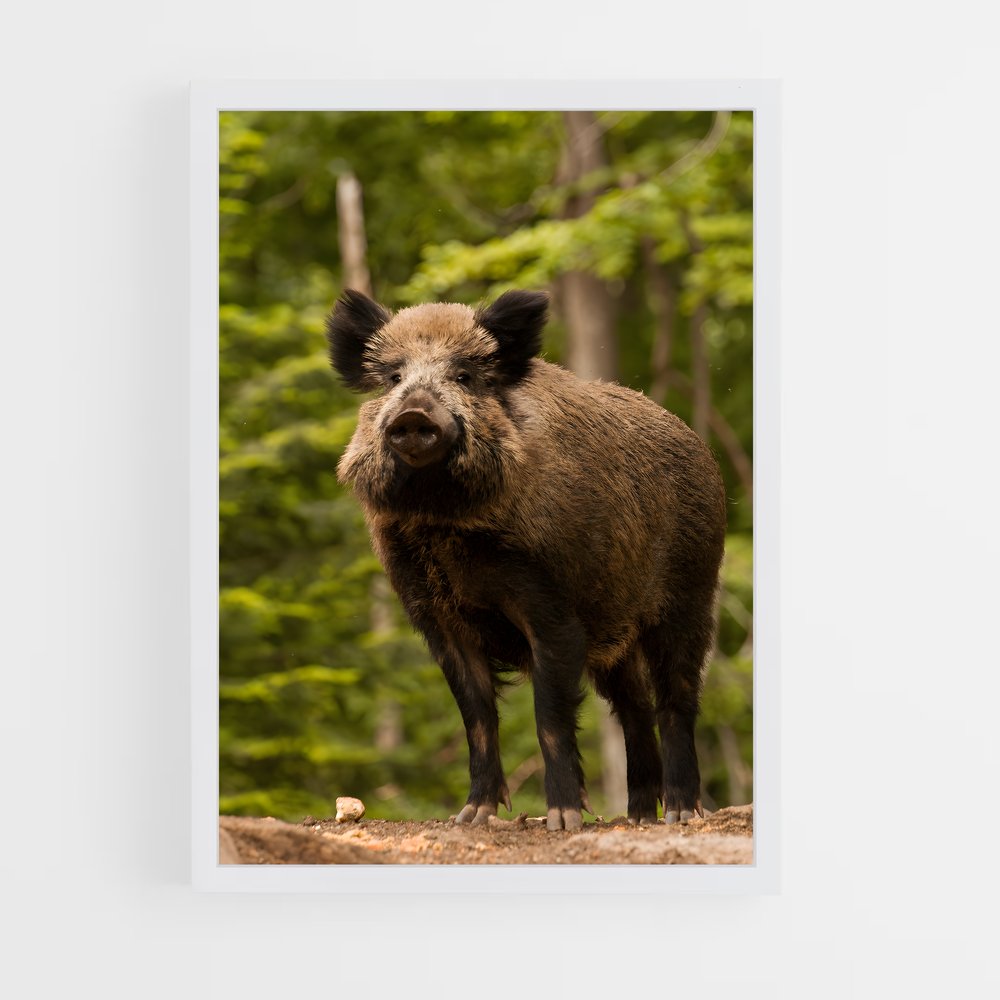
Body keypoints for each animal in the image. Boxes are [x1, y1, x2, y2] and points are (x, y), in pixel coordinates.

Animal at [327, 288, 727, 831]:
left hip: (690, 593)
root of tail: (701, 449)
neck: (444, 520)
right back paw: (638, 816)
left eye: (464, 375)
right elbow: (476, 716)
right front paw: (470, 816)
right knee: (635, 708)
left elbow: (549, 716)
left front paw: (562, 820)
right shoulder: (436, 616)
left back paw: (681, 814)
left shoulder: (551, 606)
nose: (412, 413)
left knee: (677, 699)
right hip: (615, 631)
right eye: (393, 377)